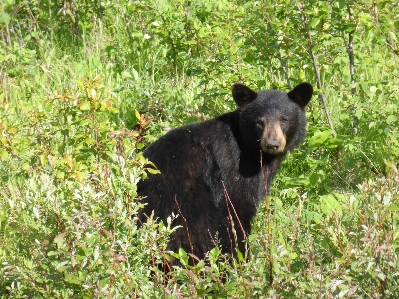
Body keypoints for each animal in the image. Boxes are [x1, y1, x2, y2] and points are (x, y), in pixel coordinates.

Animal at [138, 83, 312, 264]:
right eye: (259, 121)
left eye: (284, 119)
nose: (272, 144)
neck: (250, 149)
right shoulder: (234, 171)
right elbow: (238, 210)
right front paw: (244, 257)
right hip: (185, 203)